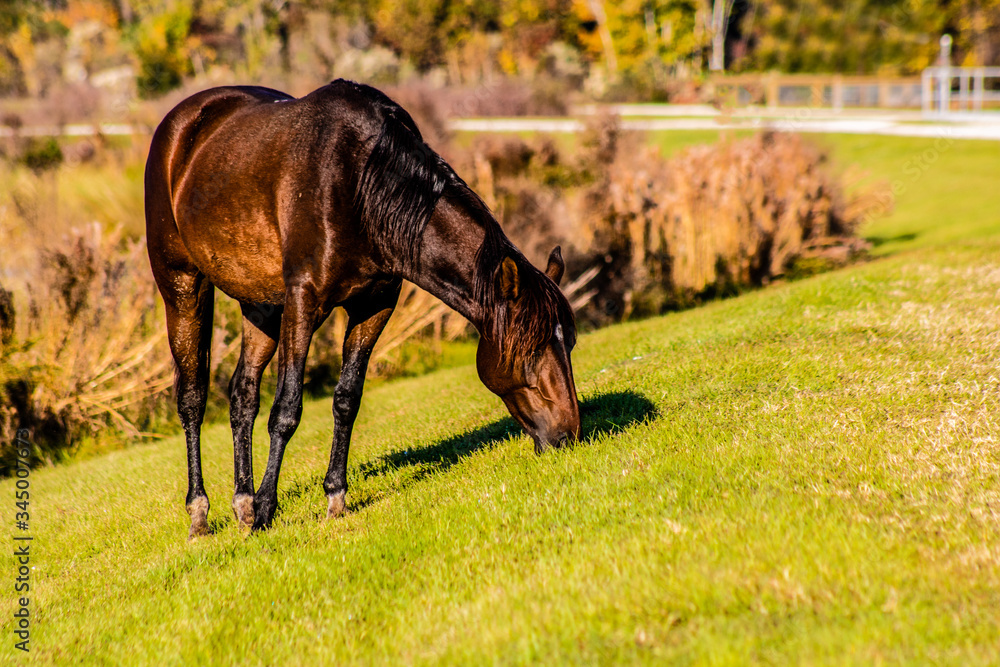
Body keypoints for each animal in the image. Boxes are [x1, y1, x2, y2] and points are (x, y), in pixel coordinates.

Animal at [144, 79, 580, 539]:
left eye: (569, 342)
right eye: (530, 349)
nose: (568, 434)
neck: (362, 185)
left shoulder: (374, 305)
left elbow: (346, 399)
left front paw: (334, 496)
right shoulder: (304, 301)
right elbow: (287, 409)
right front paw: (266, 509)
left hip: (259, 304)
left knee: (243, 395)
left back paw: (241, 502)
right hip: (182, 286)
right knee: (192, 398)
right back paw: (201, 513)